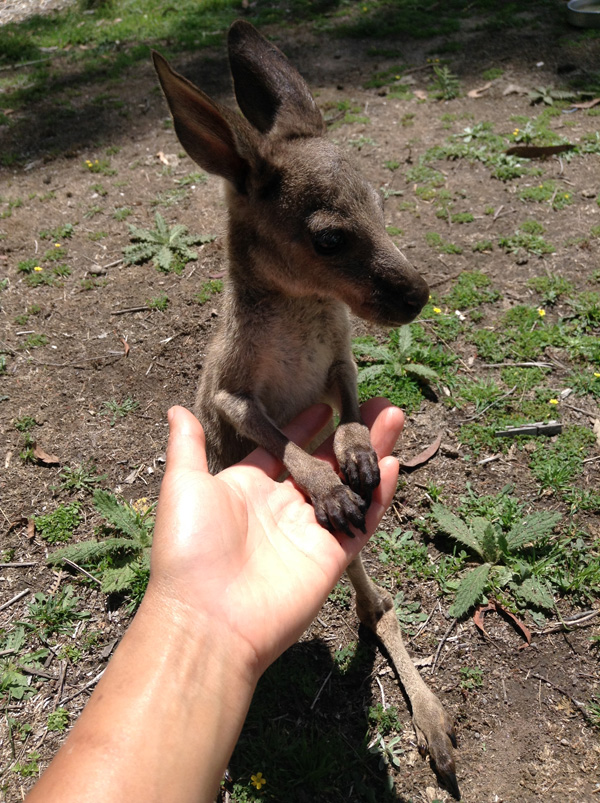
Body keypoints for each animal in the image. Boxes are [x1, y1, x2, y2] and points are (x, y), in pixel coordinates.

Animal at [152, 20, 458, 797]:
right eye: (328, 239)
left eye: (381, 205)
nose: (419, 295)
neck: (300, 308)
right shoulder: (230, 392)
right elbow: (277, 436)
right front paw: (326, 486)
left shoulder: (341, 359)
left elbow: (348, 406)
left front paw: (354, 456)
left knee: (377, 607)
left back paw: (435, 727)